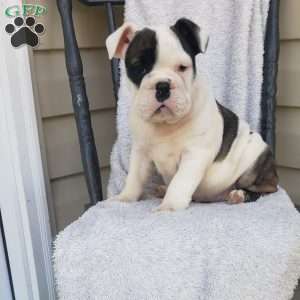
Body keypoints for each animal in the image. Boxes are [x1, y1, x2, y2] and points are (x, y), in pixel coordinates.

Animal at [105, 17, 278, 212]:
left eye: (182, 67)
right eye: (139, 68)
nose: (163, 86)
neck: (165, 124)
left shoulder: (195, 154)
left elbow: (180, 182)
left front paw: (169, 207)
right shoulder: (141, 152)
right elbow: (134, 178)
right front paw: (124, 198)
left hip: (255, 157)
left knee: (265, 188)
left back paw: (239, 194)